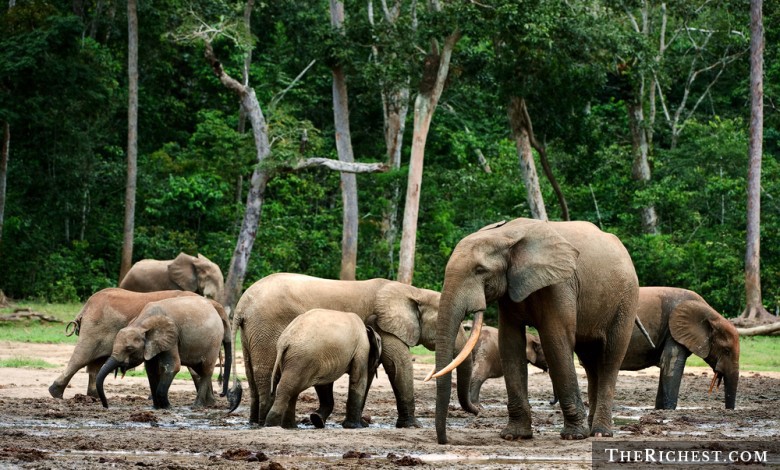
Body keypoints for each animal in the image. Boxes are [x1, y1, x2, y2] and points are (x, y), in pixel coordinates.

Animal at [48, 286, 200, 400]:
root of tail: (85, 308)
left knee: (95, 363)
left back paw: (94, 396)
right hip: (94, 328)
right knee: (81, 358)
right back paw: (56, 393)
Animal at [94, 298, 229, 412]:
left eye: (129, 349)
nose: (106, 406)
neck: (141, 323)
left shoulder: (171, 337)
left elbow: (172, 366)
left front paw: (168, 407)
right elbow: (151, 370)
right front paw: (156, 408)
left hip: (214, 342)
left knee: (206, 370)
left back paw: (197, 406)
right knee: (199, 369)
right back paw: (210, 404)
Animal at [230, 272, 476, 430]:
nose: (477, 411)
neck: (412, 292)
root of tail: (241, 306)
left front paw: (356, 423)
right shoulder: (384, 326)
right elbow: (398, 366)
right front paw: (412, 426)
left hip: (253, 334)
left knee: (253, 376)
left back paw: (255, 422)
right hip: (267, 328)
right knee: (268, 374)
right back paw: (266, 422)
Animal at [426, 218, 640, 442]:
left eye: (480, 270)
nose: (445, 441)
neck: (505, 234)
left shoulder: (560, 284)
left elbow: (555, 340)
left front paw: (573, 436)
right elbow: (510, 343)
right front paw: (514, 436)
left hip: (626, 300)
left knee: (610, 358)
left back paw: (600, 433)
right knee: (590, 362)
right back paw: (592, 430)